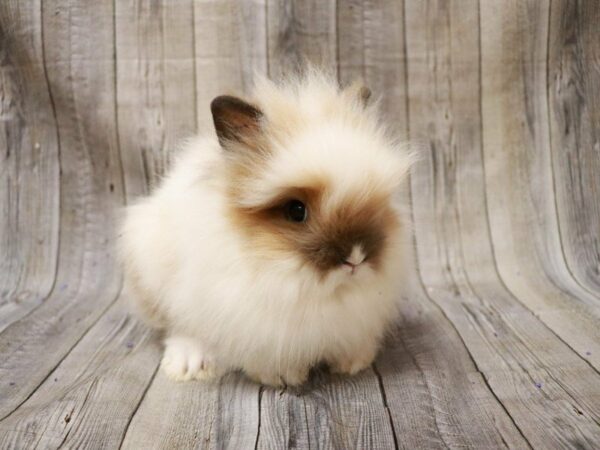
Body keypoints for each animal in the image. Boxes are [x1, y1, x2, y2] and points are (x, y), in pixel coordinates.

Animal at [119, 70, 414, 386]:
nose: (356, 257)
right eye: (296, 211)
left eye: (377, 203)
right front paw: (283, 376)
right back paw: (190, 365)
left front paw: (353, 364)